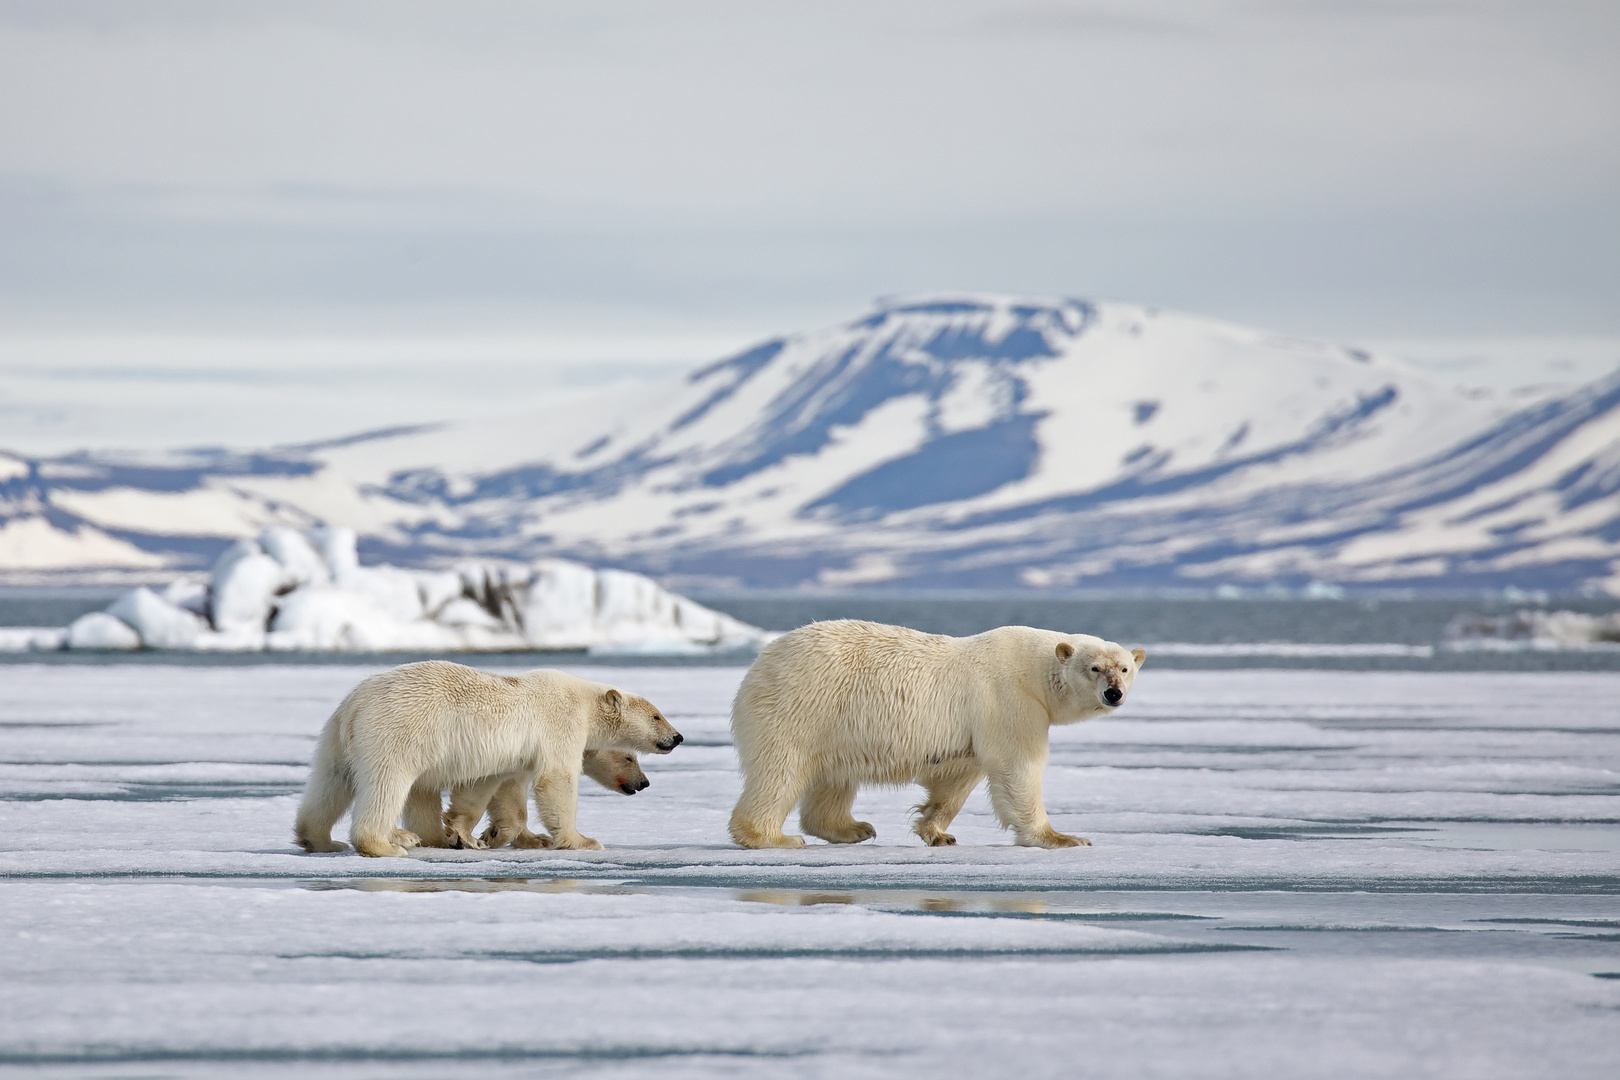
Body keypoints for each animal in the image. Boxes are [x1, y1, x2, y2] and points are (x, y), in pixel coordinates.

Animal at [294, 663, 680, 854]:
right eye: (656, 716)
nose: (677, 737)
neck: (585, 702)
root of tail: (356, 705)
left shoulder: (513, 755)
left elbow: (497, 789)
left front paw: (492, 835)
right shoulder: (559, 723)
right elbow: (556, 779)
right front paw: (582, 840)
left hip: (337, 738)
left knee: (330, 783)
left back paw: (321, 839)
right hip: (401, 730)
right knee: (388, 783)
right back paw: (388, 844)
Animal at [729, 625, 1146, 854]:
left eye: (1125, 668)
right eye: (1094, 668)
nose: (1113, 693)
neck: (1033, 668)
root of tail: (760, 663)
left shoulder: (977, 724)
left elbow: (960, 775)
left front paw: (936, 830)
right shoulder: (1009, 699)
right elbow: (1017, 767)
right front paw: (1063, 837)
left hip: (835, 726)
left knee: (833, 778)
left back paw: (854, 828)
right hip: (802, 708)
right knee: (780, 772)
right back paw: (773, 837)